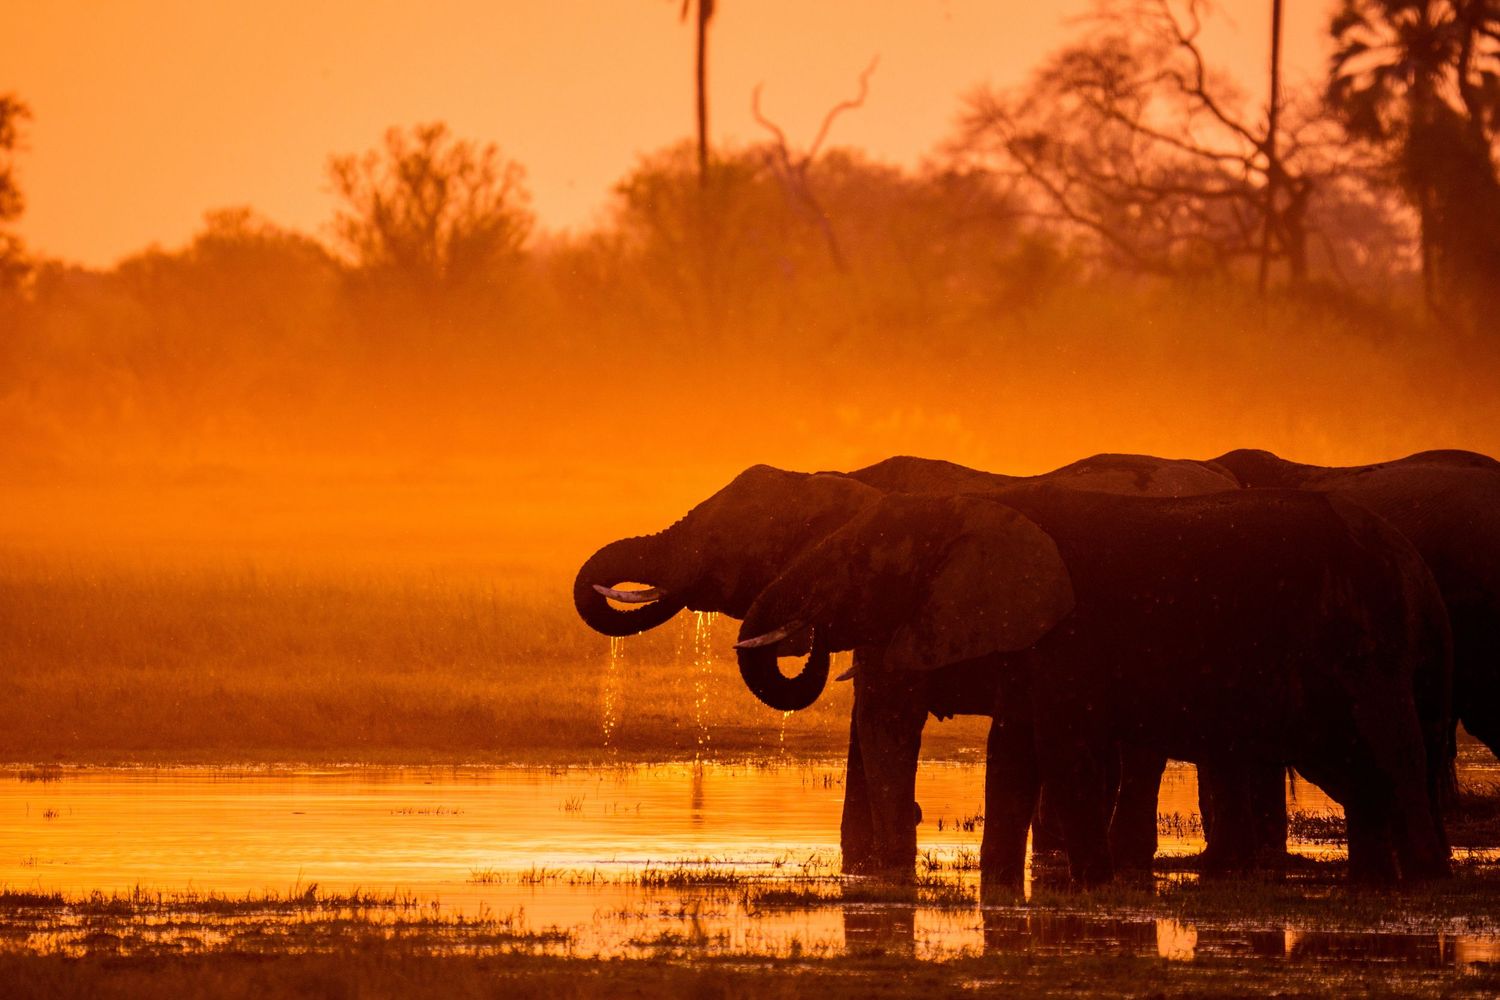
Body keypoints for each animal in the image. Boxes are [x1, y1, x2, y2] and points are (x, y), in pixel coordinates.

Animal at [574, 455, 1239, 873]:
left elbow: (885, 716)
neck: (841, 482)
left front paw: (886, 865)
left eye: (722, 542)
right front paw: (862, 862)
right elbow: (867, 720)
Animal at [735, 486, 1453, 886]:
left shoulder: (1070, 639)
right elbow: (1012, 753)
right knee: (1356, 764)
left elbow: (1063, 748)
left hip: (1371, 645)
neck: (976, 507)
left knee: (1392, 748)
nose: (810, 636)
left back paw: (1419, 882)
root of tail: (1416, 567)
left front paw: (1091, 886)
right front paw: (1002, 887)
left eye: (859, 564)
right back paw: (1375, 884)